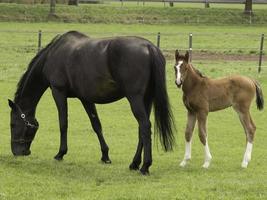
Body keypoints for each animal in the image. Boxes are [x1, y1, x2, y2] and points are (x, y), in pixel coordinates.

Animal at [7, 30, 176, 174]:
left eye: (13, 124)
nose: (17, 152)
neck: (53, 54)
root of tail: (149, 47)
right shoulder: (86, 98)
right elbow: (96, 125)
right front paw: (105, 156)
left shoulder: (58, 92)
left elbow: (63, 123)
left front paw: (60, 153)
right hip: (146, 100)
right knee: (142, 128)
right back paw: (134, 163)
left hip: (135, 98)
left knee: (145, 126)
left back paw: (145, 166)